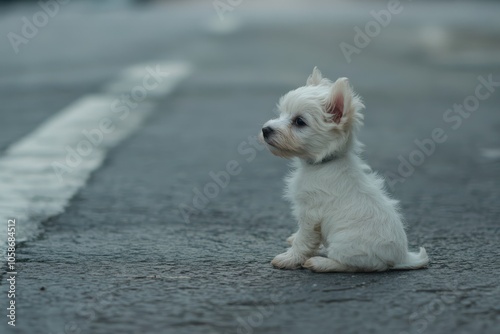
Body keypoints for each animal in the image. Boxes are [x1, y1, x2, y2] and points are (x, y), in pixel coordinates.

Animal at [260, 67, 428, 272]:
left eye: (299, 121)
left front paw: (289, 258)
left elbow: (304, 240)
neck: (325, 162)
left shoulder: (310, 215)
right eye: (281, 113)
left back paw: (320, 262)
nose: (265, 129)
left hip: (347, 244)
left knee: (353, 265)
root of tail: (403, 257)